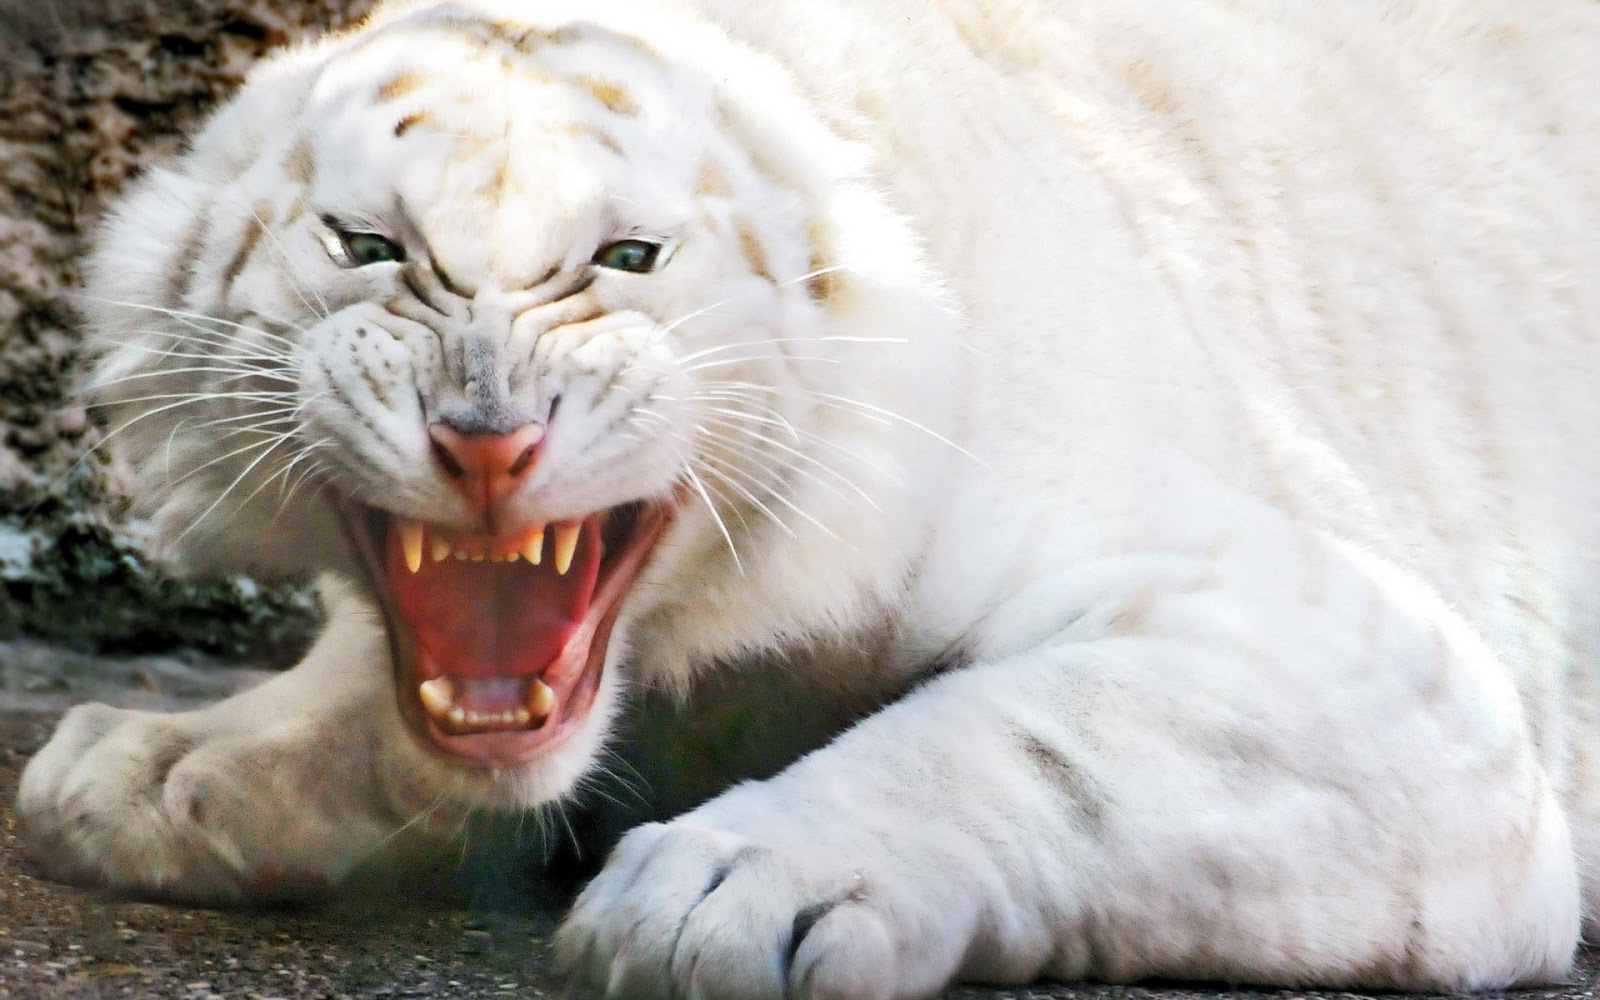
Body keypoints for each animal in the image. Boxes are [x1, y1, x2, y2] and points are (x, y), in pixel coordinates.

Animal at [12, 0, 1600, 992]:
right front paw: (164, 766)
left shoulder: (1368, 664)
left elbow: (1038, 737)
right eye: (367, 244)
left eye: (627, 257)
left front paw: (727, 895)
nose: (487, 440)